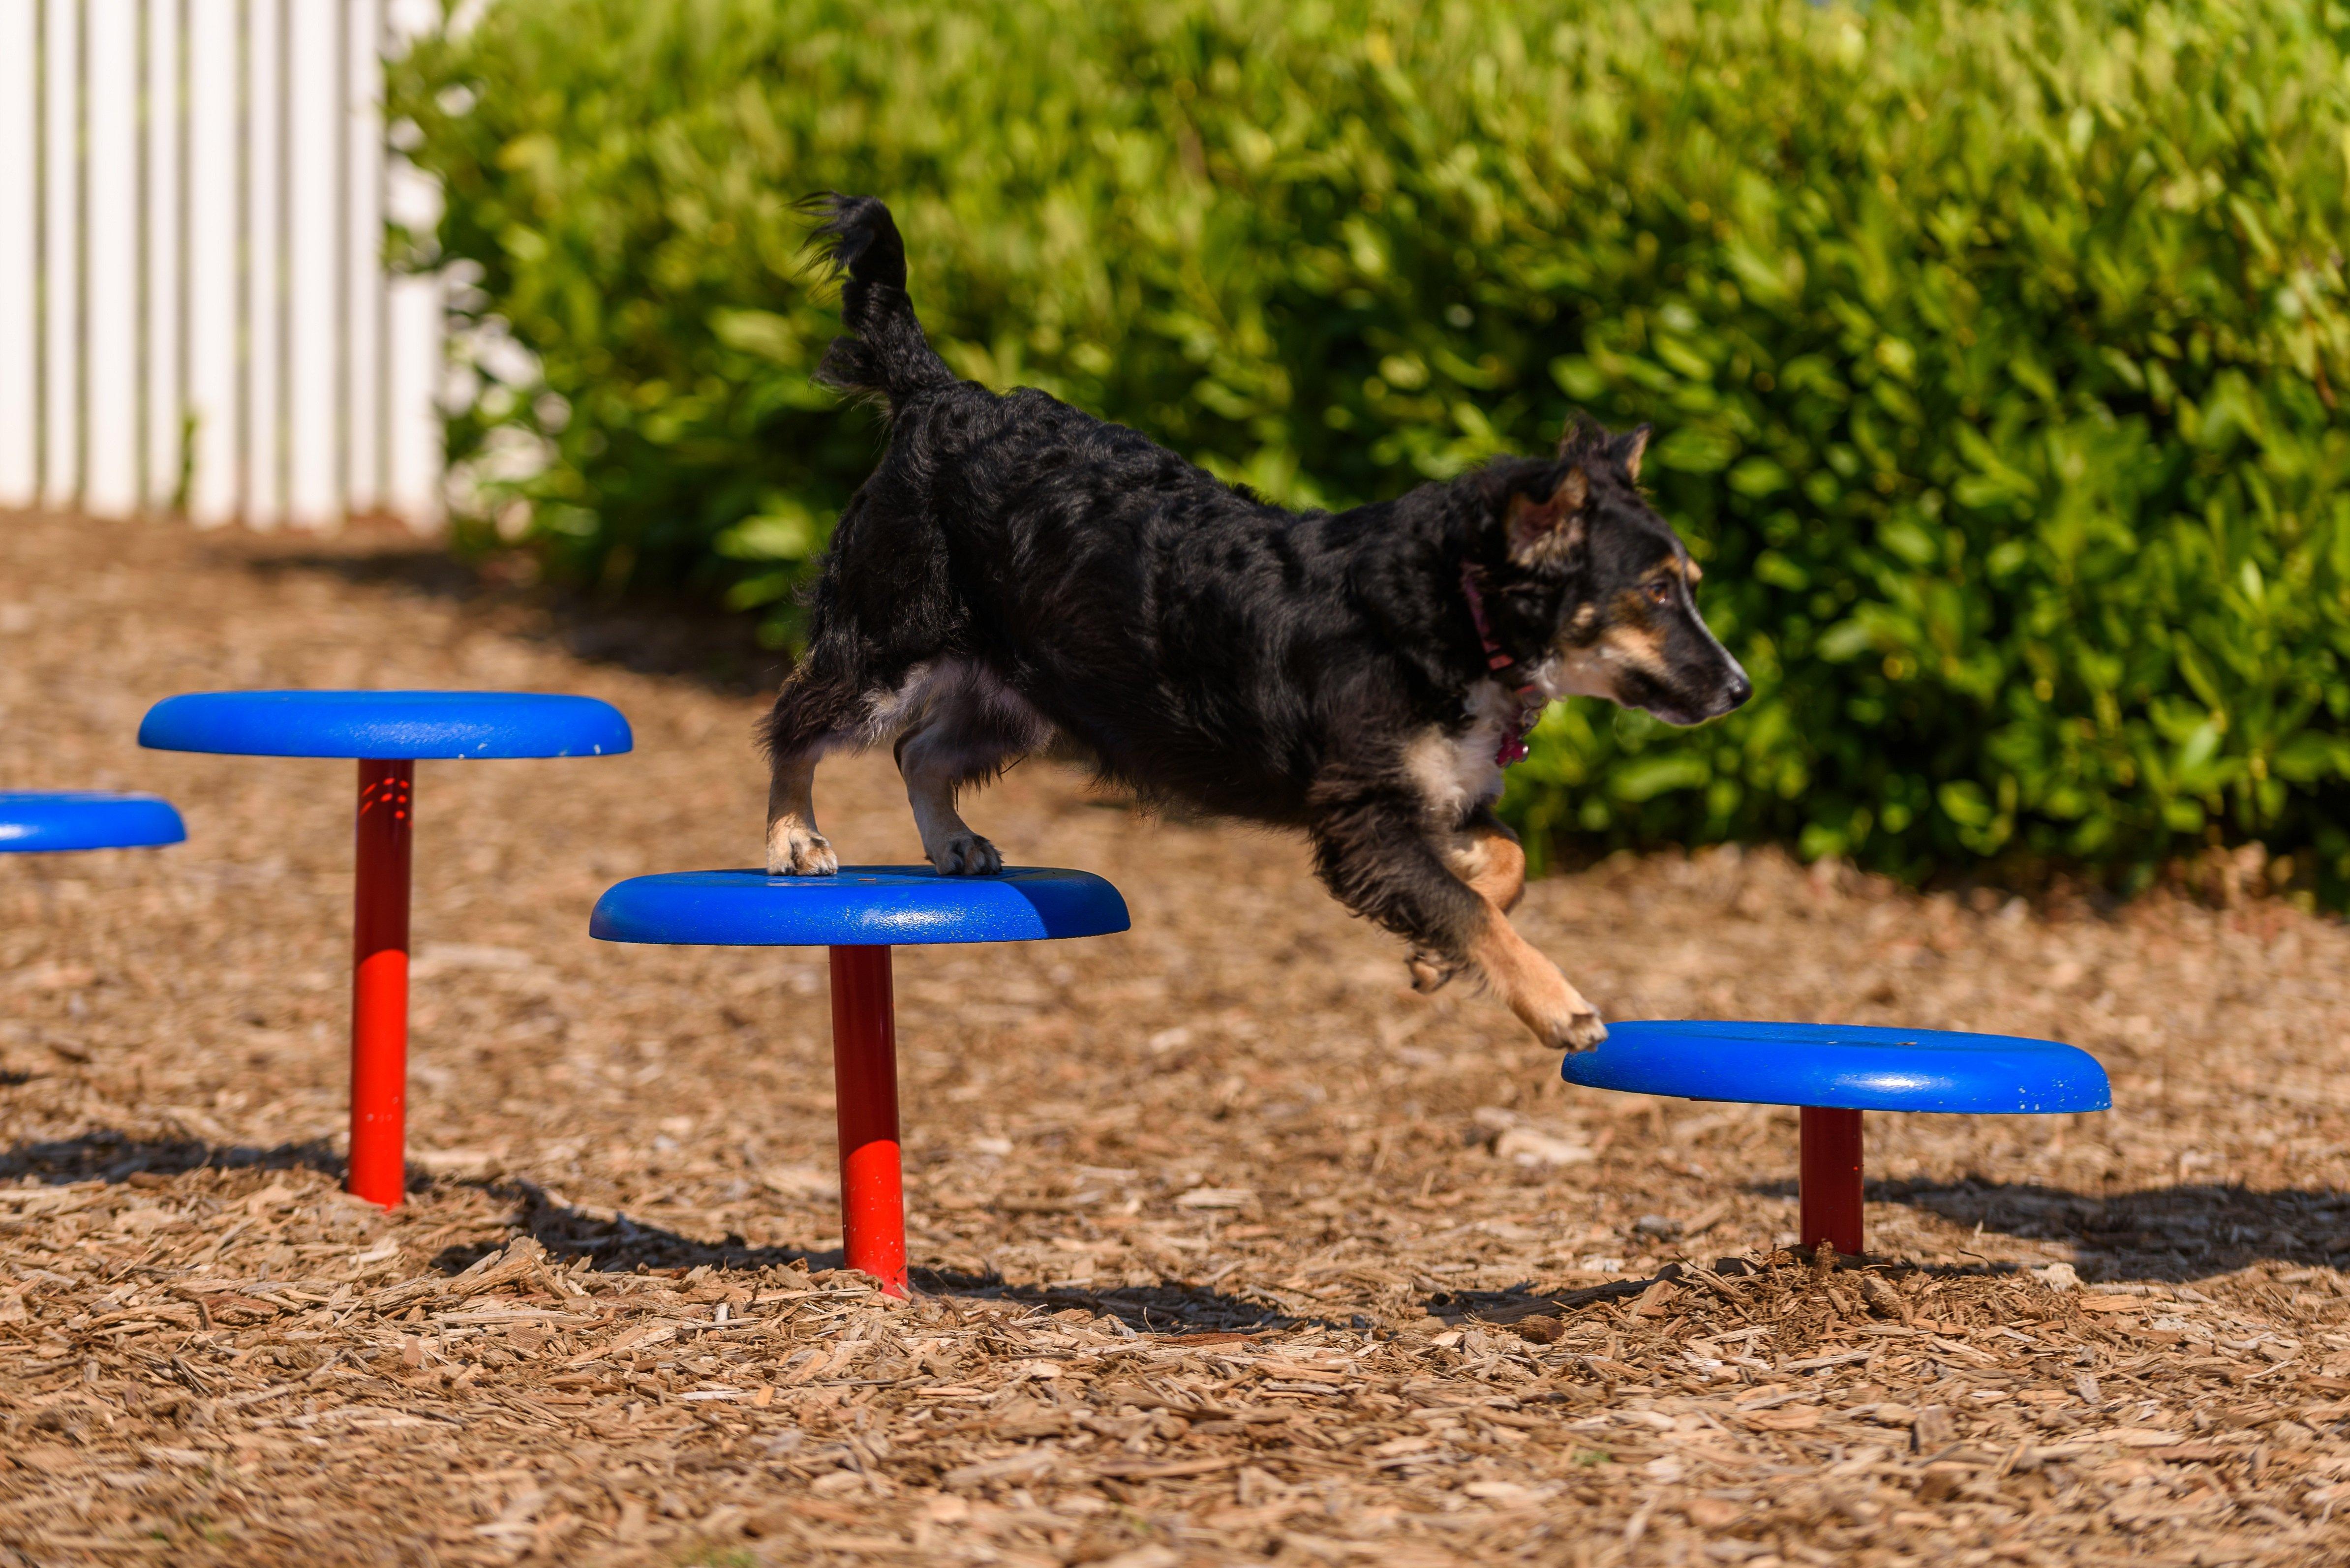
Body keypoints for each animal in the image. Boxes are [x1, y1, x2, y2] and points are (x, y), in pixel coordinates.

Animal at [761, 200, 1758, 1053]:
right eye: (1656, 591)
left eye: (1687, 585)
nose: (1741, 689)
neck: (1443, 607)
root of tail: (942, 394)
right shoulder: (1362, 817)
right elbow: (1472, 908)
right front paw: (1556, 1001)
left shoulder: (1437, 796)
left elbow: (1503, 866)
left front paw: (1437, 952)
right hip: (890, 639)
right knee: (795, 718)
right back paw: (793, 839)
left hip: (1025, 687)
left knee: (919, 752)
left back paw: (951, 842)